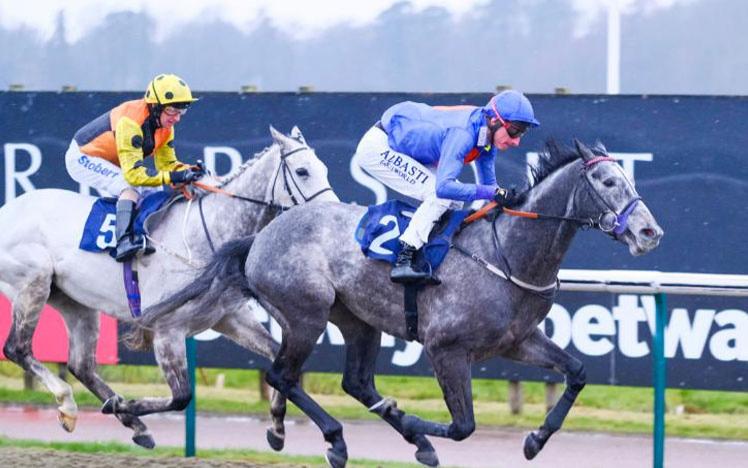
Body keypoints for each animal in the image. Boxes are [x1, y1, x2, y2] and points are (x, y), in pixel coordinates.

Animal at [0, 125, 336, 450]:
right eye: (303, 171)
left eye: (324, 168)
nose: (331, 216)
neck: (207, 232)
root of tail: (8, 209)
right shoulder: (167, 330)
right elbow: (181, 397)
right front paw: (123, 404)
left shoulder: (229, 318)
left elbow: (281, 364)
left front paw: (278, 428)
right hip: (34, 280)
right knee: (17, 348)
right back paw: (69, 405)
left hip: (77, 304)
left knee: (80, 365)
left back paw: (136, 426)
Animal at [143, 141, 664, 466]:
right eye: (607, 181)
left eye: (627, 177)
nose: (649, 231)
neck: (507, 251)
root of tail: (260, 235)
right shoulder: (445, 348)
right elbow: (464, 426)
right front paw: (413, 422)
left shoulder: (517, 341)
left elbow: (577, 372)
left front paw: (535, 440)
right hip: (306, 314)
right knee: (281, 375)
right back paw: (335, 439)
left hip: (357, 321)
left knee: (354, 382)